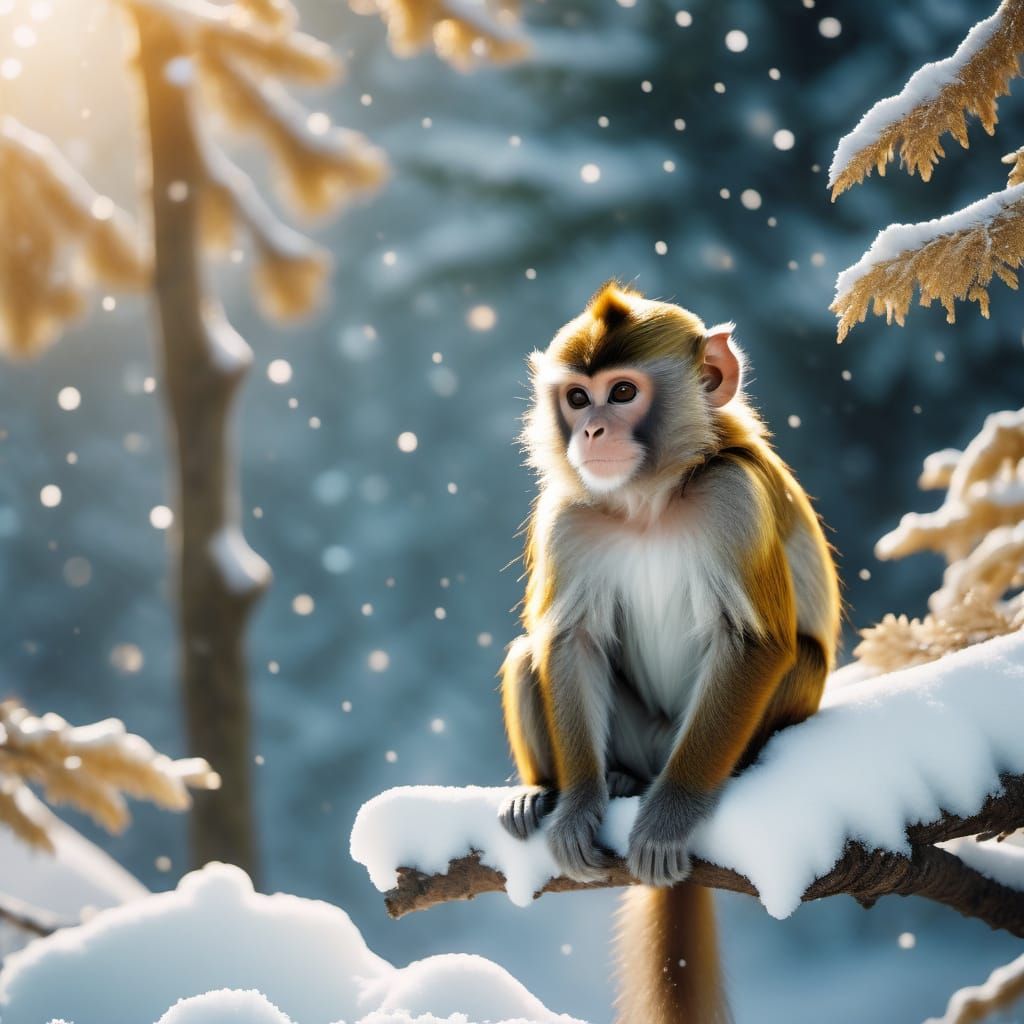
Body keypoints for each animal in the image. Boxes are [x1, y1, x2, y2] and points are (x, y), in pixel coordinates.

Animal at [497, 282, 841, 1024]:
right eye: (578, 397)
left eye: (623, 392)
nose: (592, 432)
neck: (647, 503)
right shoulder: (567, 516)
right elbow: (570, 642)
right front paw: (576, 807)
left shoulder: (735, 500)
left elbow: (756, 643)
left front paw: (669, 818)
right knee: (528, 653)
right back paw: (569, 788)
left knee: (798, 656)